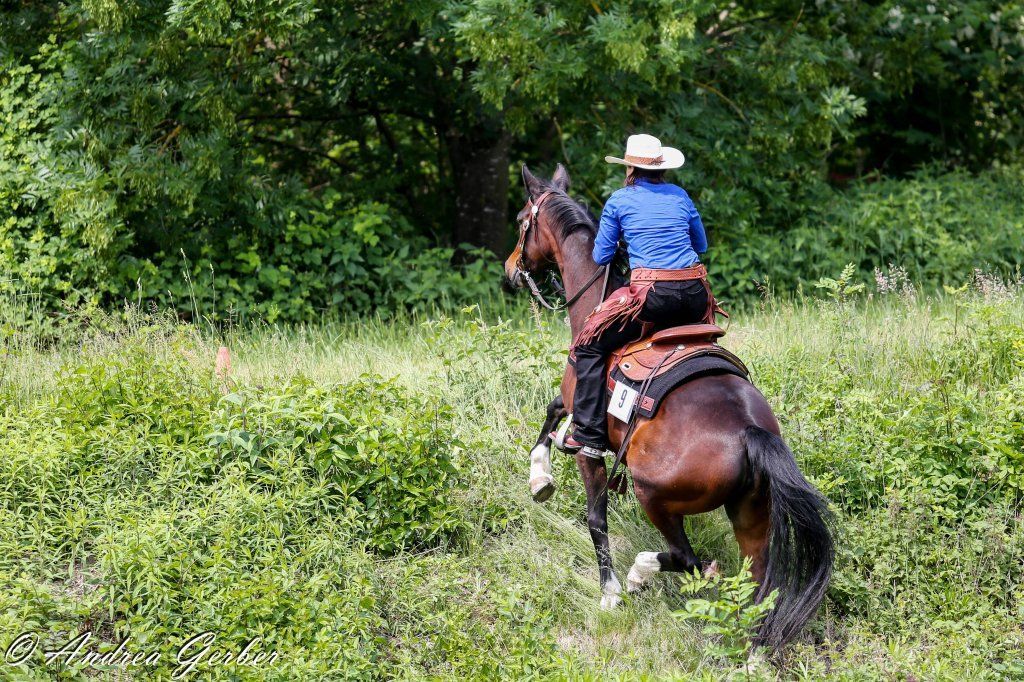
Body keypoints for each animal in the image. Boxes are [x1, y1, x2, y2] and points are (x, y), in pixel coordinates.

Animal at [504, 164, 833, 651]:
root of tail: (749, 432)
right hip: (752, 514)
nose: (510, 269)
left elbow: (594, 514)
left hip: (655, 497)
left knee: (691, 559)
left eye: (522, 219)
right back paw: (752, 653)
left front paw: (609, 591)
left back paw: (639, 574)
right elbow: (551, 412)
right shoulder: (574, 404)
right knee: (758, 585)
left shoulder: (587, 432)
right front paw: (540, 477)